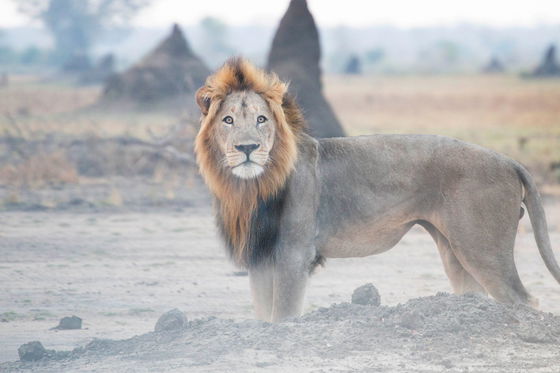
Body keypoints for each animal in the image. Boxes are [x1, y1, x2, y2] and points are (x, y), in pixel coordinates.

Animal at [194, 56, 560, 322]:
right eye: (228, 120)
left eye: (262, 120)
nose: (247, 148)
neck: (250, 187)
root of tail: (509, 160)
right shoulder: (260, 258)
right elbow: (263, 316)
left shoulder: (294, 255)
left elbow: (283, 315)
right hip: (454, 251)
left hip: (482, 248)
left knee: (525, 299)